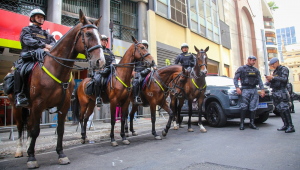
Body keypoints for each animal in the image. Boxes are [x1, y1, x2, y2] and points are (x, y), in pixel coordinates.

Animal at [6, 10, 105, 169]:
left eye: (99, 35)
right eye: (89, 34)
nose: (100, 61)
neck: (57, 68)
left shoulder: (63, 105)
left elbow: (60, 130)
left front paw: (61, 154)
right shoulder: (38, 105)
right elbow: (35, 130)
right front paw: (32, 158)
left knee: (28, 125)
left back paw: (28, 147)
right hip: (17, 106)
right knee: (21, 126)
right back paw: (20, 150)